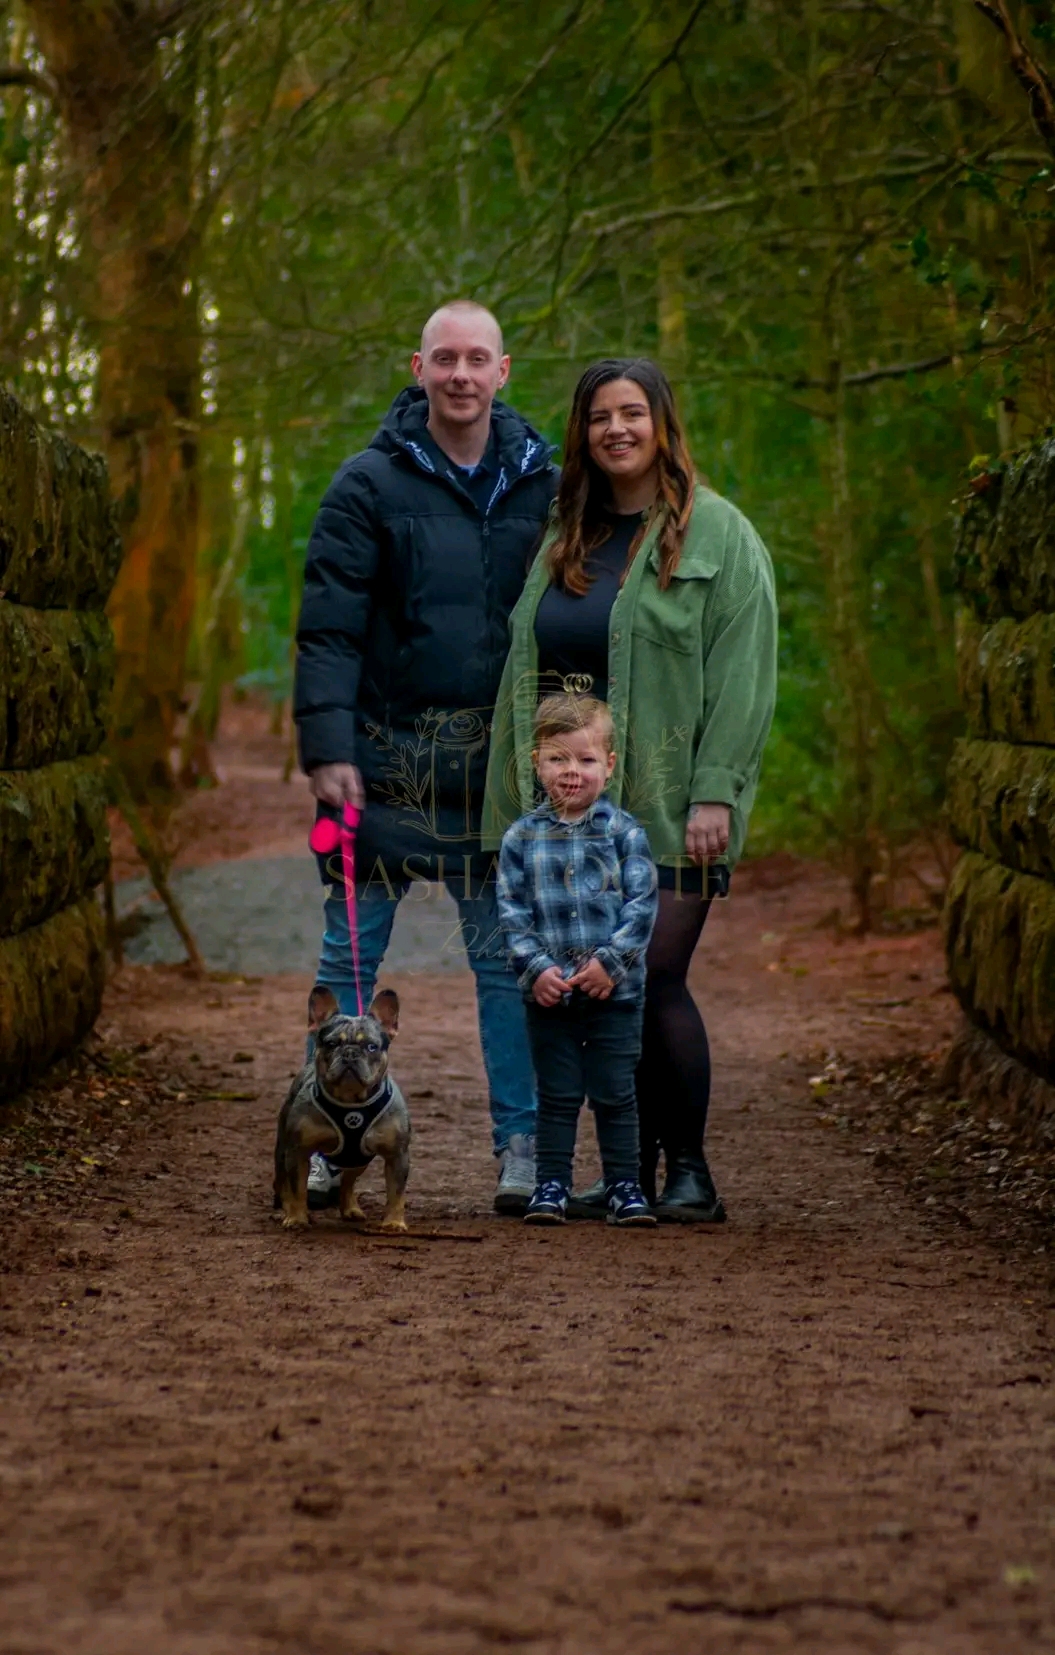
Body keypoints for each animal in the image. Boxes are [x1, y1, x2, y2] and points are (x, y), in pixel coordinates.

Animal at [273, 984, 411, 1232]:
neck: (350, 1101)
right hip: (283, 1149)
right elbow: (297, 1188)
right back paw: (286, 1211)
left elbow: (396, 1192)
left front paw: (394, 1222)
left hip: (358, 1159)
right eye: (331, 1044)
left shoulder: (397, 1155)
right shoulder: (298, 1152)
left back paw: (350, 1209)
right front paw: (297, 1217)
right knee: (283, 1182)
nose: (349, 1053)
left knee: (348, 1182)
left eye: (371, 1046)